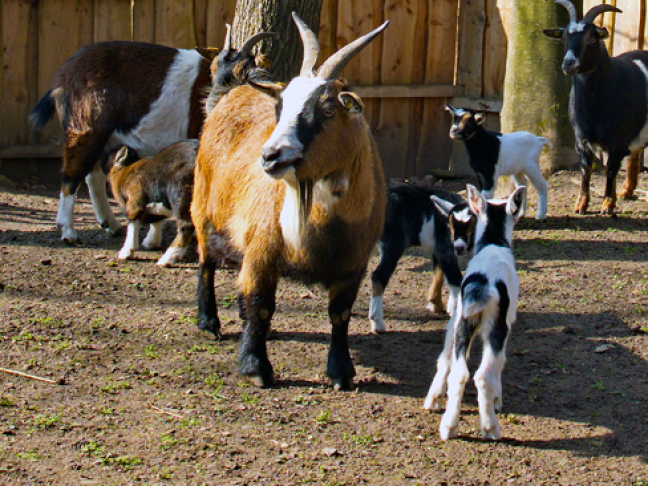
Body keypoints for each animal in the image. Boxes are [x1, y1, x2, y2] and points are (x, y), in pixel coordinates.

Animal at [29, 32, 272, 244]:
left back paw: (111, 224)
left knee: (93, 174)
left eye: (246, 69)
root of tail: (62, 76)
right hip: (85, 127)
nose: (212, 101)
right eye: (214, 70)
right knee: (72, 173)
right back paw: (68, 232)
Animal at [191, 13, 388, 390]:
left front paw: (341, 372)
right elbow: (260, 304)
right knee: (206, 260)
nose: (270, 156)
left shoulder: (354, 263)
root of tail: (230, 90)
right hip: (204, 207)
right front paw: (255, 367)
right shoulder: (262, 250)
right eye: (280, 106)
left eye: (328, 108)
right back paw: (208, 322)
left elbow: (340, 313)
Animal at [369, 185, 476, 333]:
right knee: (378, 276)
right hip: (393, 243)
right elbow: (455, 279)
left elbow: (439, 271)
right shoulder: (446, 248)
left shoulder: (439, 249)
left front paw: (436, 303)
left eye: (469, 227)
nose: (459, 248)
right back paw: (377, 323)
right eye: (452, 228)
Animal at [424, 184, 525, 441]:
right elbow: (500, 361)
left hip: (464, 323)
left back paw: (448, 426)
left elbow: (446, 359)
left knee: (459, 373)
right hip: (496, 326)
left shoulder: (456, 318)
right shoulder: (507, 322)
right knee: (482, 375)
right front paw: (497, 400)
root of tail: (483, 284)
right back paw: (490, 428)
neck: (493, 244)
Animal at [544, 1, 648, 215]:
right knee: (636, 153)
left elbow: (611, 168)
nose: (569, 63)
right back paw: (626, 191)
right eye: (564, 37)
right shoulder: (581, 138)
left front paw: (608, 204)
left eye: (592, 38)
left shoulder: (618, 139)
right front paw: (581, 205)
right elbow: (586, 168)